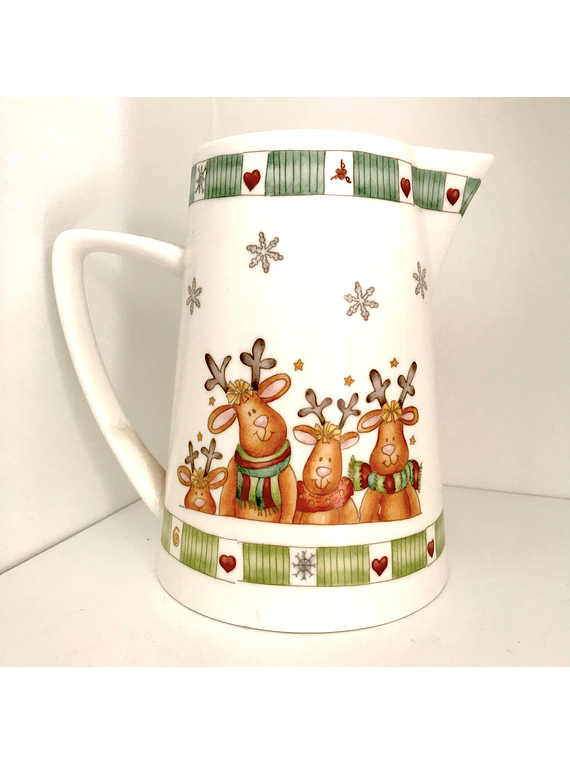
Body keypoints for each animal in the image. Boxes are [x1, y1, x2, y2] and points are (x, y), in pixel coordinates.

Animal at [205, 339, 297, 523]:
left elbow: (290, 504)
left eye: (260, 402)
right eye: (243, 414)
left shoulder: (288, 477)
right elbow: (226, 501)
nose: (261, 421)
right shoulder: (231, 473)